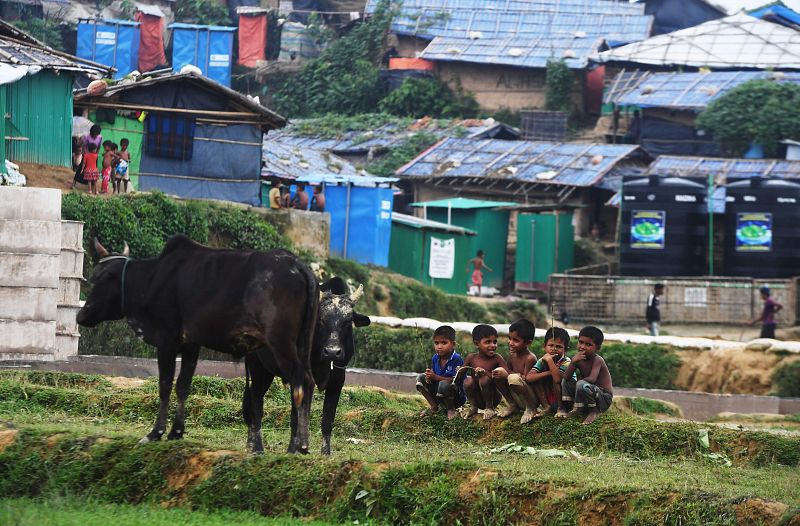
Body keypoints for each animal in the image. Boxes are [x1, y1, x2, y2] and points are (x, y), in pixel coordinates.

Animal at [77, 237, 318, 456]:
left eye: (99, 278)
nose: (82, 315)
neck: (152, 278)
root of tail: (298, 265)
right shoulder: (191, 345)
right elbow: (183, 386)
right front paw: (176, 432)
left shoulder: (166, 341)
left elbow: (165, 386)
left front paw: (155, 433)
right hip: (301, 346)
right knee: (306, 383)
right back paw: (299, 445)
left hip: (280, 345)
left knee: (300, 382)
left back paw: (299, 445)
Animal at [242, 278, 370, 456]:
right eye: (321, 319)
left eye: (347, 321)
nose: (332, 352)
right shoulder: (297, 378)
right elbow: (296, 417)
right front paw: (292, 450)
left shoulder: (337, 381)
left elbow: (327, 419)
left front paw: (325, 453)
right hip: (257, 367)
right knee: (256, 402)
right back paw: (257, 448)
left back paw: (251, 444)